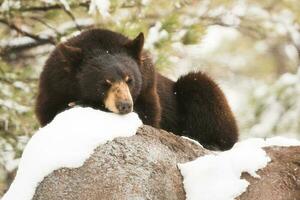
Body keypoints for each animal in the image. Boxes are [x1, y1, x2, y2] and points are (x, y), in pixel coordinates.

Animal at [35, 28, 238, 150]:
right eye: (105, 82)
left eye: (129, 80)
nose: (125, 105)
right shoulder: (53, 84)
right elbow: (49, 112)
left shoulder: (148, 84)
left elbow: (149, 114)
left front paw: (81, 104)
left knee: (202, 88)